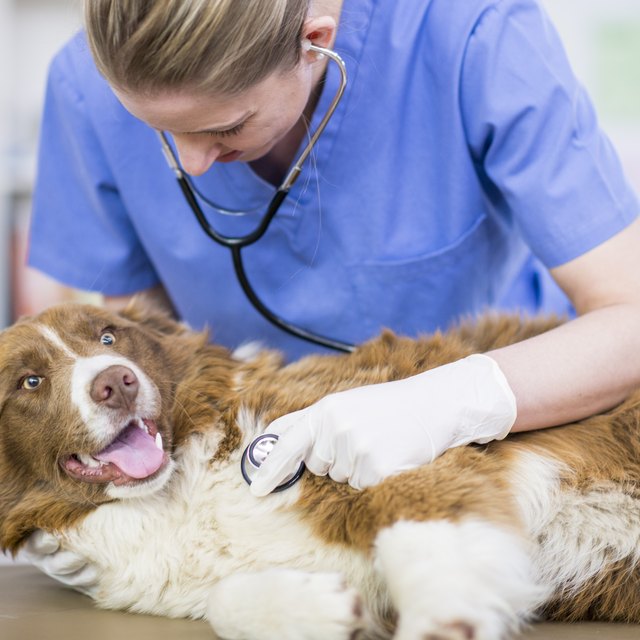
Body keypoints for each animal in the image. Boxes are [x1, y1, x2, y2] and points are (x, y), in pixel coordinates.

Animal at [1, 302, 640, 640]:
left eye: (109, 335)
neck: (174, 492)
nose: (118, 380)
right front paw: (321, 609)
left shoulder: (402, 460)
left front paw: (440, 619)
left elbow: (419, 535)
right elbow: (222, 602)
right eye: (29, 381)